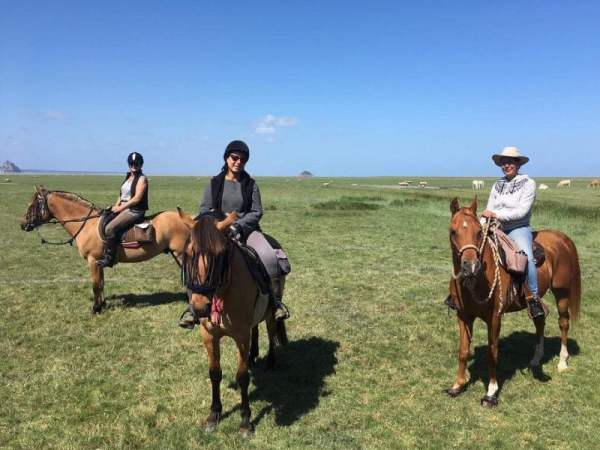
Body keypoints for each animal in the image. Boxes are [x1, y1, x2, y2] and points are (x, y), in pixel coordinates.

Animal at [20, 186, 190, 312]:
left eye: (32, 204)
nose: (22, 224)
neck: (87, 224)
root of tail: (189, 219)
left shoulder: (93, 260)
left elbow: (96, 285)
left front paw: (95, 309)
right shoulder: (99, 262)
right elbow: (101, 283)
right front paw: (102, 305)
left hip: (180, 254)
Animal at [177, 207, 290, 436]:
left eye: (219, 255)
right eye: (190, 254)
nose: (200, 307)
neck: (223, 292)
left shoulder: (241, 336)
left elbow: (242, 377)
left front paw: (246, 422)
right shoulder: (209, 335)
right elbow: (214, 373)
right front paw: (213, 416)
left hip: (271, 313)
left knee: (271, 332)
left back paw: (271, 362)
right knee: (256, 329)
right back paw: (254, 356)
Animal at [446, 196, 580, 404]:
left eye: (479, 232)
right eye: (453, 231)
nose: (471, 266)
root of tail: (561, 237)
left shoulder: (494, 318)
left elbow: (492, 354)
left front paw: (491, 392)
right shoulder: (463, 316)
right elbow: (462, 351)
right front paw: (457, 385)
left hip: (562, 292)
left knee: (563, 322)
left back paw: (562, 361)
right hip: (536, 298)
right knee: (540, 317)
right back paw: (536, 359)